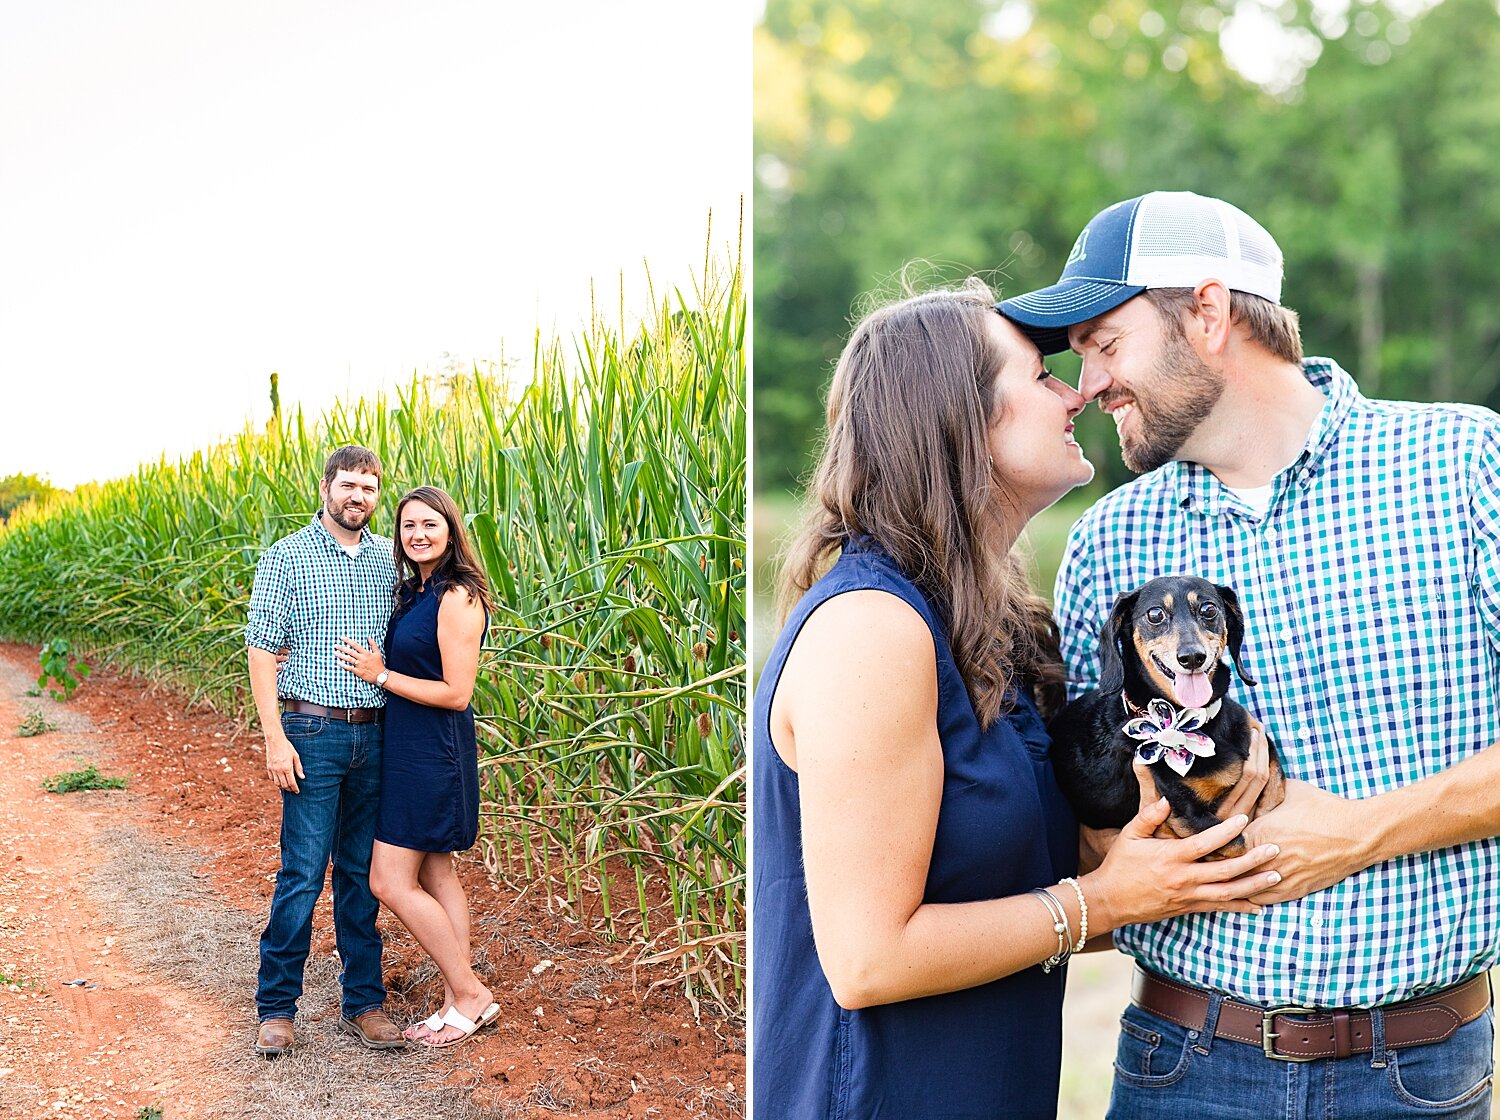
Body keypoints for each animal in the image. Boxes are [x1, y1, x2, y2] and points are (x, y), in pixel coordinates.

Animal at [1050, 578, 1284, 857]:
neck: (1197, 722)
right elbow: (1241, 844)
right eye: (1155, 614)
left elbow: (1275, 792)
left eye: (1209, 610)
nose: (1192, 657)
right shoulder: (1187, 817)